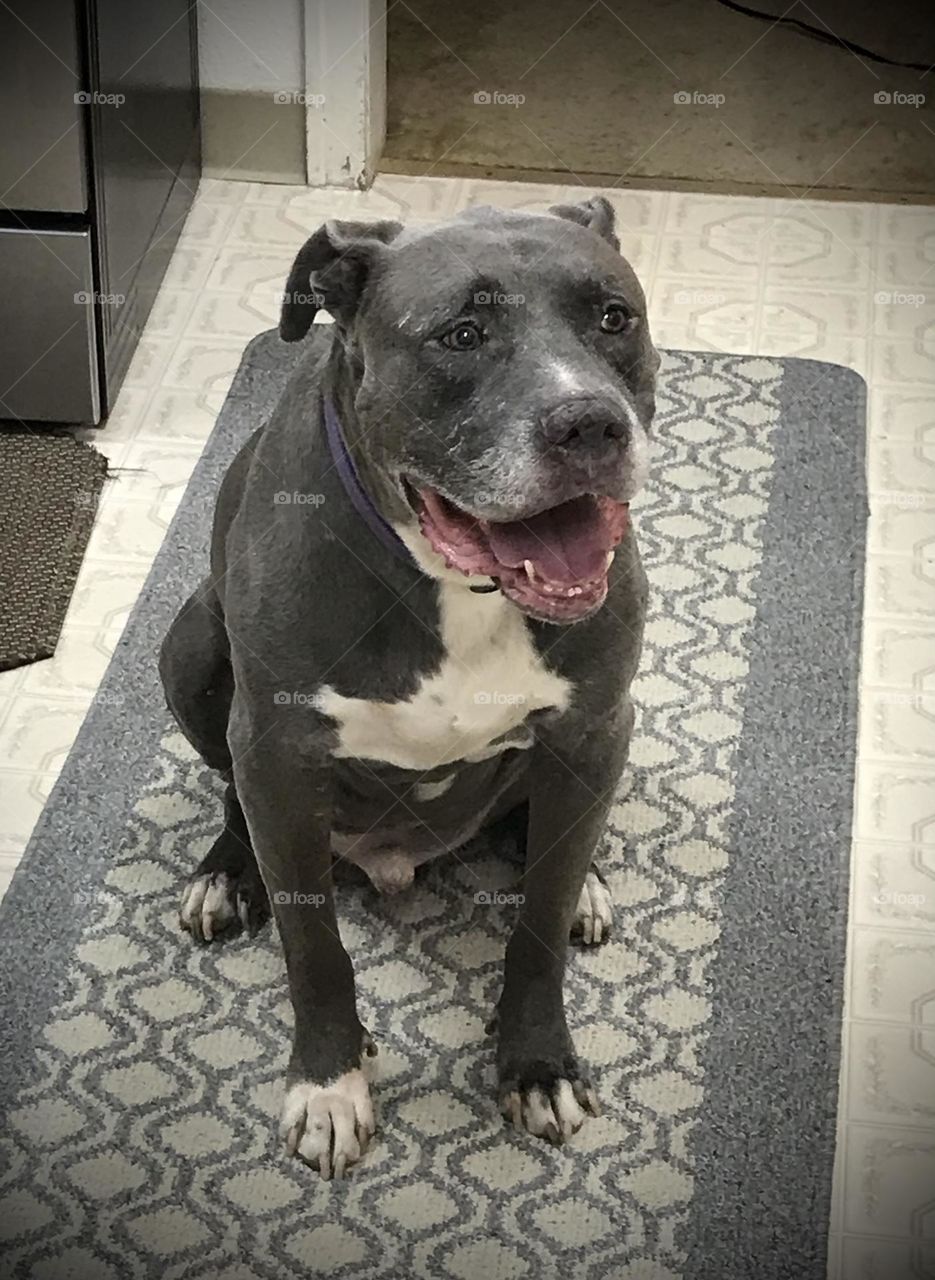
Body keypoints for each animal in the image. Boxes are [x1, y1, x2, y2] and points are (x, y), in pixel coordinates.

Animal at [160, 197, 653, 1177]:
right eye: (460, 335)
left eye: (613, 318)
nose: (590, 424)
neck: (455, 584)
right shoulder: (276, 752)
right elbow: (313, 945)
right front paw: (328, 1084)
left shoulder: (592, 726)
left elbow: (537, 924)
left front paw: (538, 1063)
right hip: (188, 646)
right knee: (231, 794)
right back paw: (226, 872)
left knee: (553, 836)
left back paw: (583, 879)